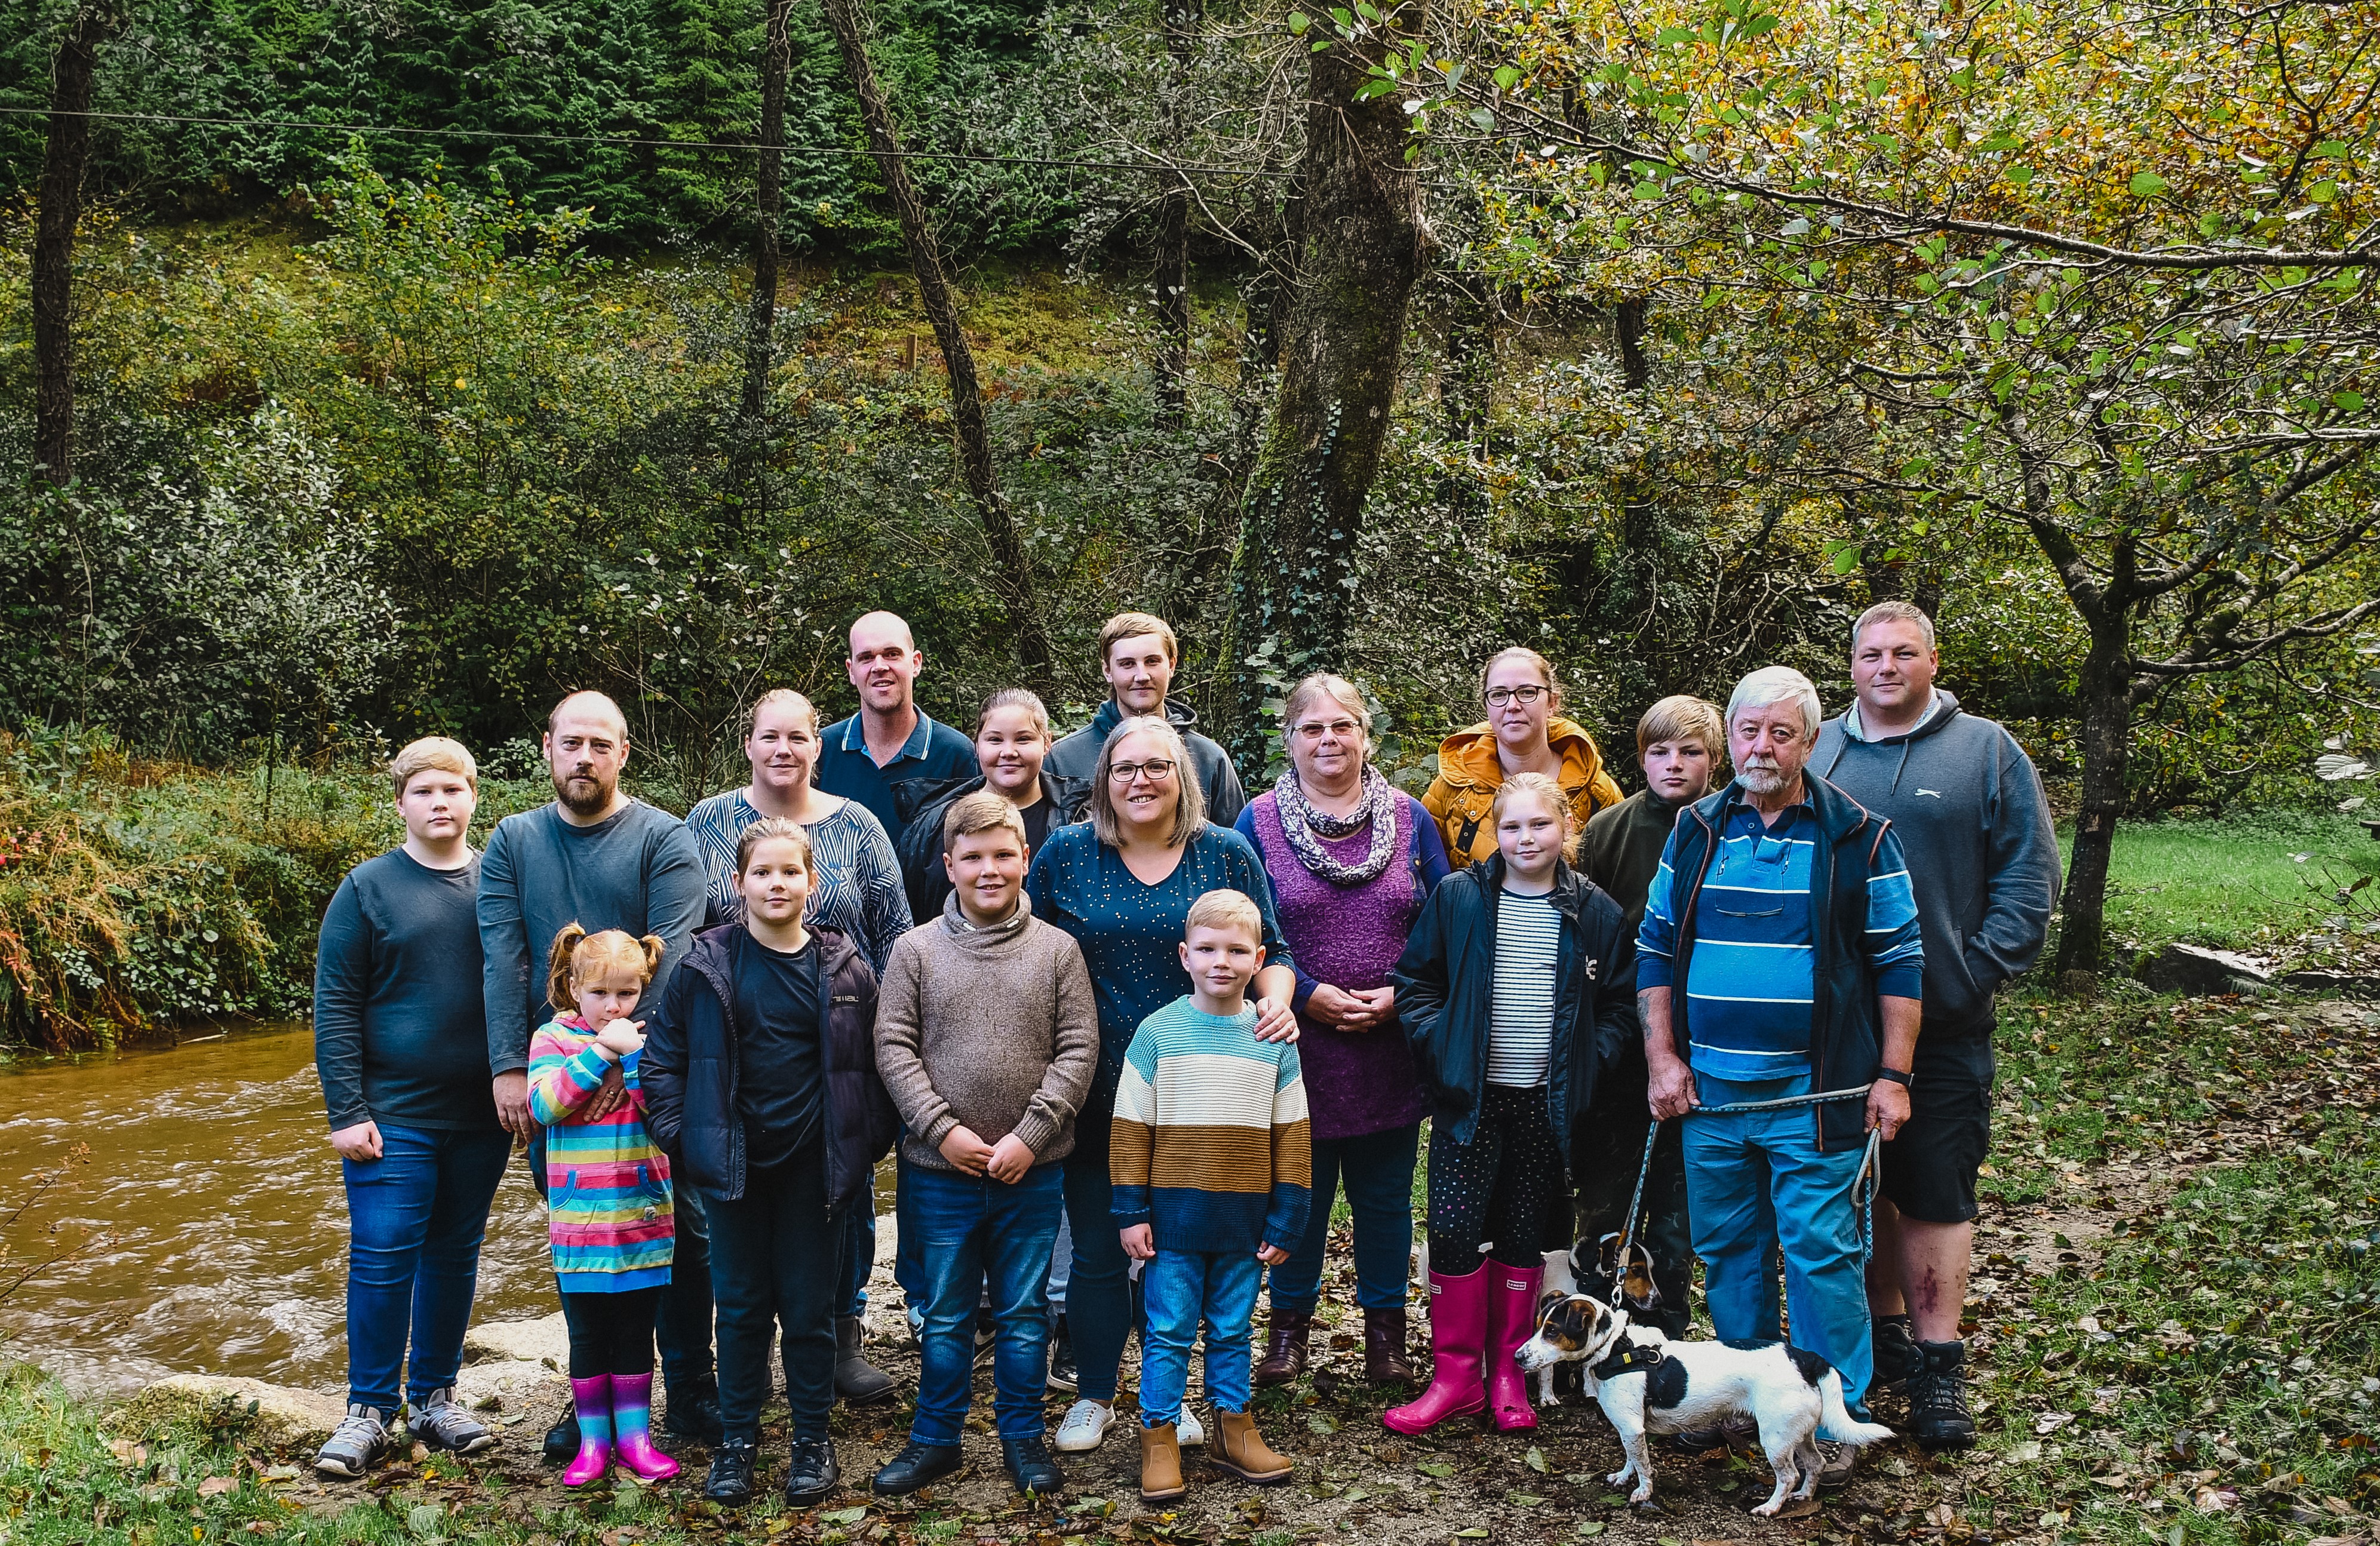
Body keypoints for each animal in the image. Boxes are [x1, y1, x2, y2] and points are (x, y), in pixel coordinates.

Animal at [1523, 1284, 1894, 1503]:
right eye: (1539, 1325)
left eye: (1553, 1331)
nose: (1517, 1357)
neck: (1616, 1347)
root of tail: (1806, 1357)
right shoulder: (1631, 1428)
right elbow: (1632, 1458)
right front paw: (1624, 1478)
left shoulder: (1631, 1427)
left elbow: (1643, 1465)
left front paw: (1643, 1492)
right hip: (1798, 1431)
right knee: (1815, 1465)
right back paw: (1804, 1496)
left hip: (1775, 1438)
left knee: (1788, 1476)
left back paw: (1770, 1508)